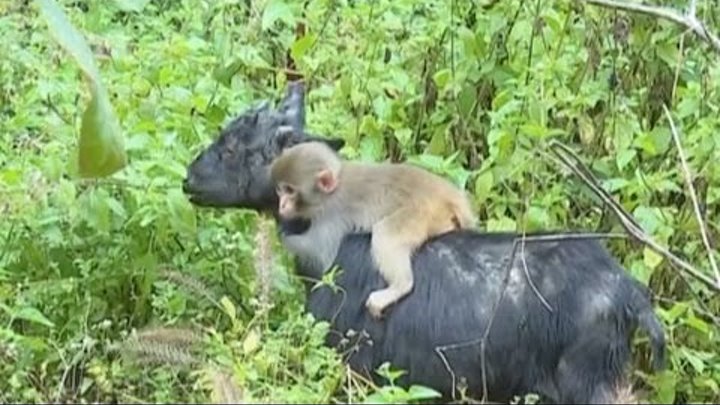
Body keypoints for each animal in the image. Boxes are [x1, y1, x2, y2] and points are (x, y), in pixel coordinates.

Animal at [268, 140, 476, 318]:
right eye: (280, 190)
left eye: (290, 191)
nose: (281, 205)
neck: (334, 186)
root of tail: (448, 195)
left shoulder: (331, 214)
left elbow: (319, 253)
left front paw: (277, 235)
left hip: (419, 213)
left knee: (386, 235)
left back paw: (399, 287)